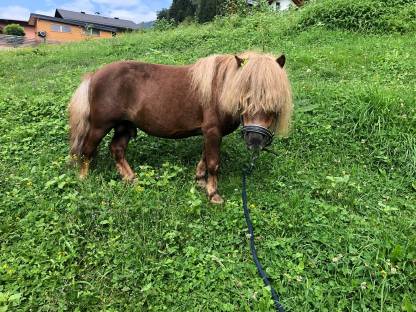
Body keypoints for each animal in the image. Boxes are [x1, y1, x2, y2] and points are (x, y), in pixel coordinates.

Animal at [69, 51, 292, 204]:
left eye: (274, 103)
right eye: (245, 97)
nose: (255, 140)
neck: (220, 90)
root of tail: (94, 75)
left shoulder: (209, 134)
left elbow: (204, 158)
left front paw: (201, 181)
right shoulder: (212, 132)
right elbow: (213, 162)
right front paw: (213, 194)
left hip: (124, 126)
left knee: (117, 149)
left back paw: (131, 179)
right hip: (100, 126)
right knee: (87, 150)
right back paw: (83, 178)